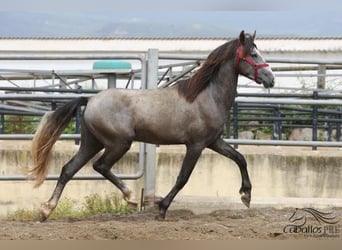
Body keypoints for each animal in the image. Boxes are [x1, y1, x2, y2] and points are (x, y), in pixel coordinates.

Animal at [29, 30, 276, 221]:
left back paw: (45, 211)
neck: (207, 96)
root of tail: (90, 100)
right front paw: (162, 209)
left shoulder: (214, 141)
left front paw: (246, 196)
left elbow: (240, 158)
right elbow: (183, 178)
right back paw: (129, 197)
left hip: (92, 143)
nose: (271, 78)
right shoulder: (196, 145)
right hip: (119, 143)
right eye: (253, 54)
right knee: (100, 166)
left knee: (68, 169)